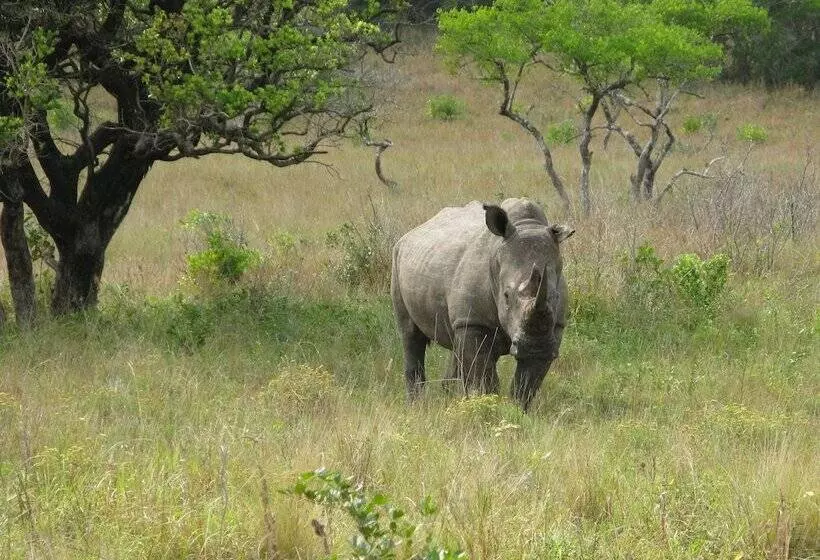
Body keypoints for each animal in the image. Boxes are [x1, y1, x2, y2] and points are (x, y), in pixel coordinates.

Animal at [390, 198, 574, 411]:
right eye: (506, 296)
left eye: (555, 296)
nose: (535, 347)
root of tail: (414, 231)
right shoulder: (475, 322)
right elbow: (483, 378)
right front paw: (486, 408)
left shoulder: (554, 328)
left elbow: (525, 384)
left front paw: (516, 412)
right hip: (397, 259)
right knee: (410, 336)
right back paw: (416, 406)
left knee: (455, 343)